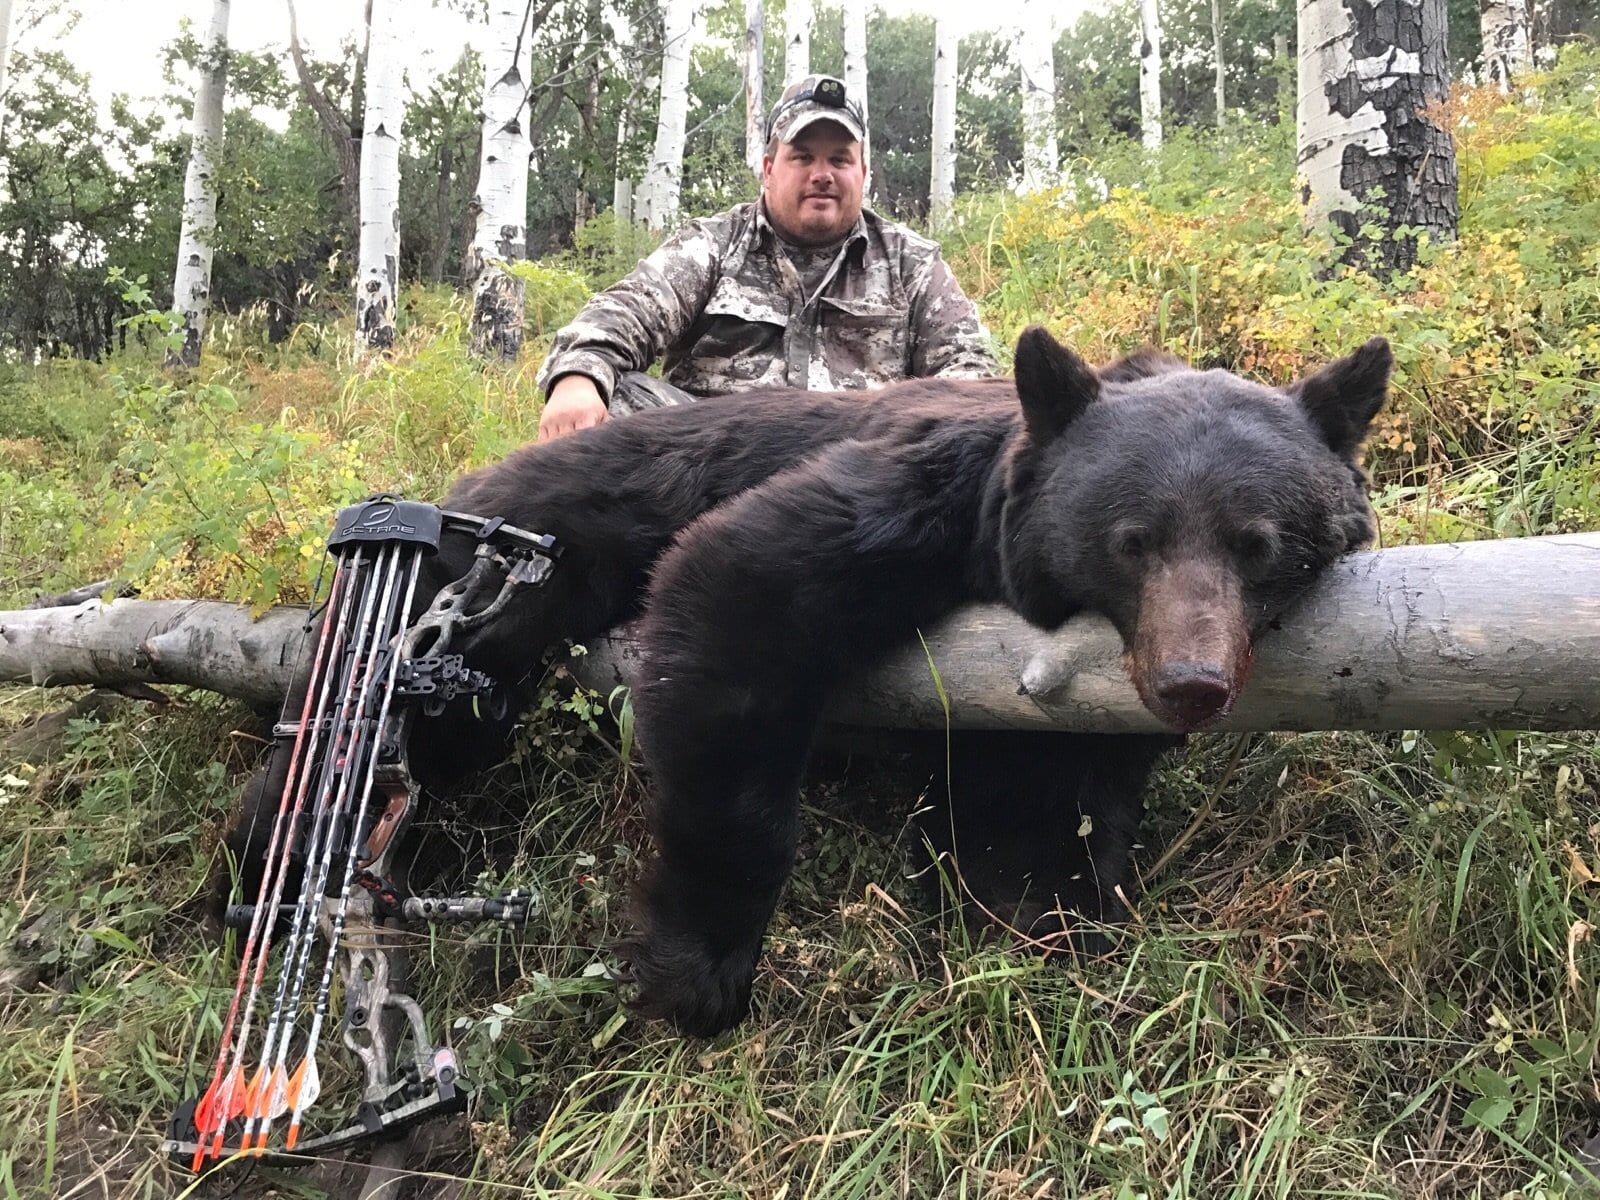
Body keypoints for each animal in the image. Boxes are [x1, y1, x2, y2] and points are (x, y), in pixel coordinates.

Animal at [228, 326, 1391, 1039]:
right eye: (1132, 540)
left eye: (1258, 544)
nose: (1191, 679)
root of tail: (461, 482)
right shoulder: (908, 498)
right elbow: (729, 603)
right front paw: (697, 970)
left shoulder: (1034, 717)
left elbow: (1036, 816)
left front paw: (1050, 917)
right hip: (487, 588)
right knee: (371, 728)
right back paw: (268, 873)